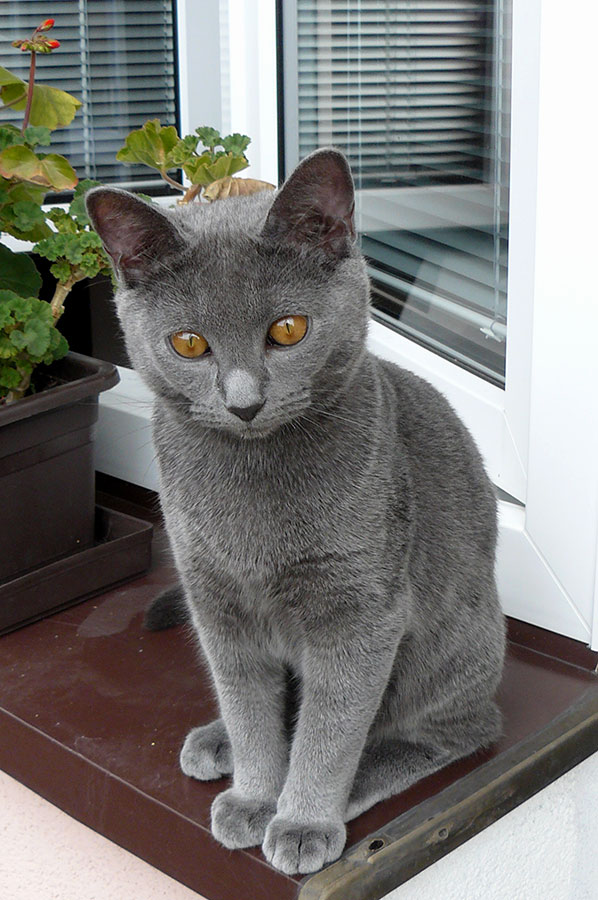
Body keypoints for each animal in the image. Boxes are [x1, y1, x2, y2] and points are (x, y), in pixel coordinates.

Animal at [85, 151, 506, 876]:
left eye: (288, 330)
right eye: (188, 343)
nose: (244, 402)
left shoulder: (362, 612)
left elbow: (331, 730)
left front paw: (302, 819)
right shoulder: (214, 602)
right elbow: (250, 707)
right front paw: (255, 794)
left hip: (449, 647)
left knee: (454, 731)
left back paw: (362, 779)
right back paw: (217, 740)